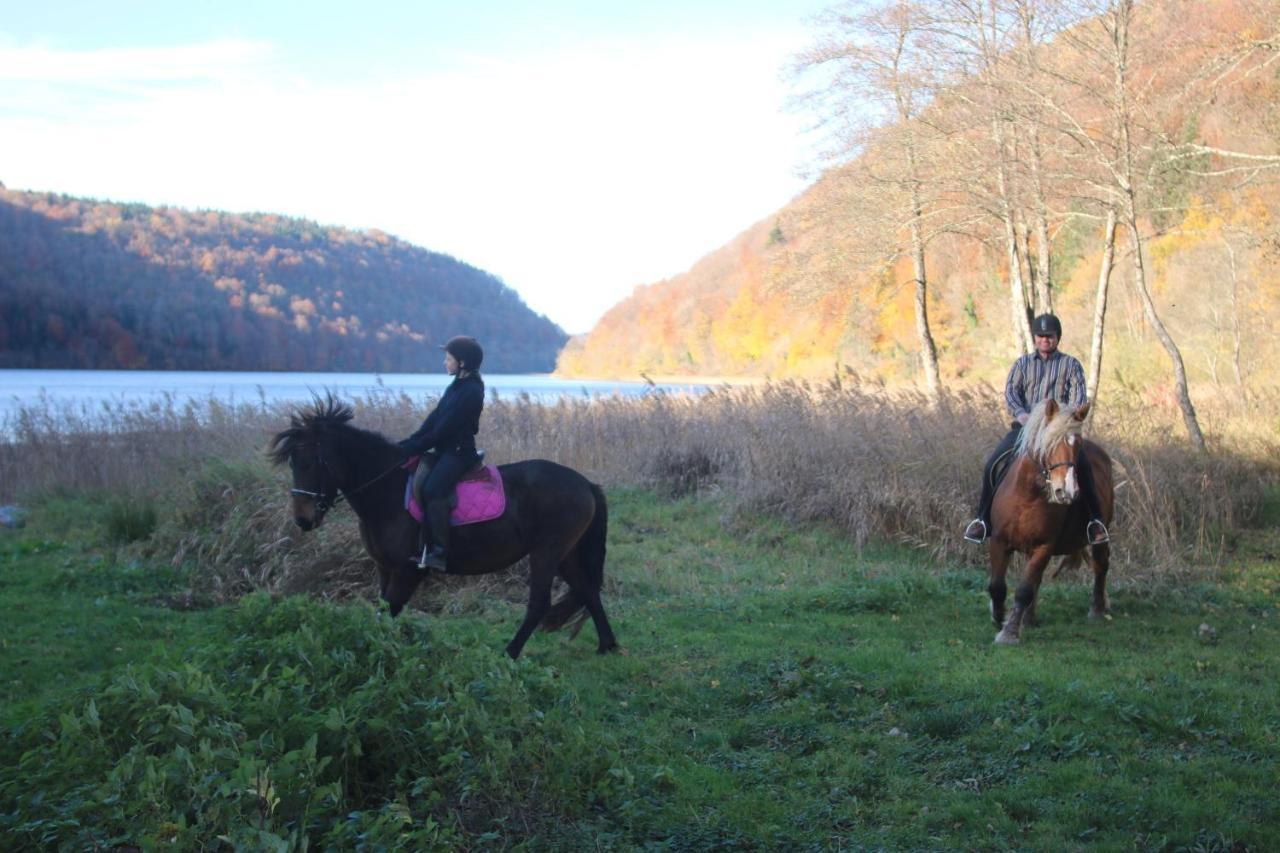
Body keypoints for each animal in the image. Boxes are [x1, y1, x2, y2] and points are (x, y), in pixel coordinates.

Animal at [272, 397, 622, 655]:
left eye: (310, 462)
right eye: (292, 463)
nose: (302, 519)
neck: (387, 491)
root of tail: (586, 484)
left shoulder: (408, 570)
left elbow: (390, 610)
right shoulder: (385, 568)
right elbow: (382, 609)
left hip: (547, 552)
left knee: (540, 603)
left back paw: (509, 653)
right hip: (567, 553)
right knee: (588, 589)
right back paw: (607, 645)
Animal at [988, 399, 1111, 645]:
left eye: (1077, 444)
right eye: (1049, 442)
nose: (1067, 491)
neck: (1027, 496)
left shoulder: (1044, 546)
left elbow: (1024, 589)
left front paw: (1009, 632)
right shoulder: (998, 540)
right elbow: (997, 586)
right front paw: (998, 617)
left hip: (1100, 535)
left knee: (1101, 565)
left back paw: (1096, 610)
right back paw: (1028, 619)